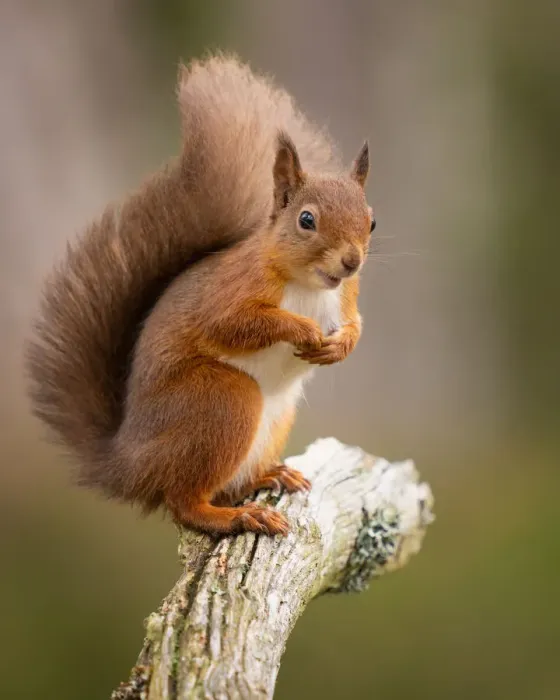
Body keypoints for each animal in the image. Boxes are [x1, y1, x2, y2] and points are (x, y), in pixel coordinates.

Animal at [26, 55, 375, 536]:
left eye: (372, 221)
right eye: (307, 220)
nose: (352, 261)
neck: (310, 284)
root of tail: (128, 464)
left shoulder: (347, 296)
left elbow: (356, 323)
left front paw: (341, 344)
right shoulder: (233, 290)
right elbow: (235, 323)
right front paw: (302, 329)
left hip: (273, 417)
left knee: (221, 487)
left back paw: (268, 477)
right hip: (222, 401)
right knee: (184, 503)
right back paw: (238, 515)